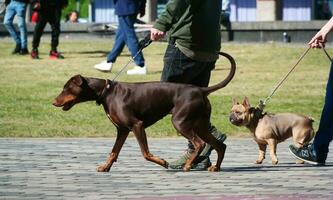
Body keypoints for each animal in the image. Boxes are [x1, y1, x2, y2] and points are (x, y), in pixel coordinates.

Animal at [53, 52, 235, 173]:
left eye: (66, 88)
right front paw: (105, 167)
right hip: (200, 125)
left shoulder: (137, 125)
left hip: (180, 122)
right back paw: (216, 167)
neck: (106, 92)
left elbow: (145, 153)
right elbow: (113, 152)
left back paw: (188, 165)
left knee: (199, 143)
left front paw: (163, 162)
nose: (53, 102)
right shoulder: (122, 130)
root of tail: (200, 90)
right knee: (220, 145)